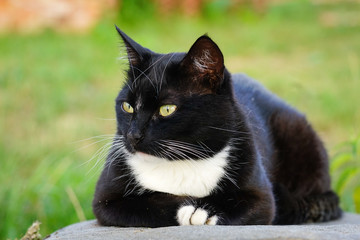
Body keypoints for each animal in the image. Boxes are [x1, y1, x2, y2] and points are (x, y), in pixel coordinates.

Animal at [91, 26, 342, 227]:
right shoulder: (106, 200)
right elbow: (150, 202)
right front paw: (189, 207)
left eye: (166, 109)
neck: (182, 160)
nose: (133, 136)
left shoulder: (261, 195)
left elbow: (257, 203)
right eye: (127, 106)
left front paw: (204, 210)